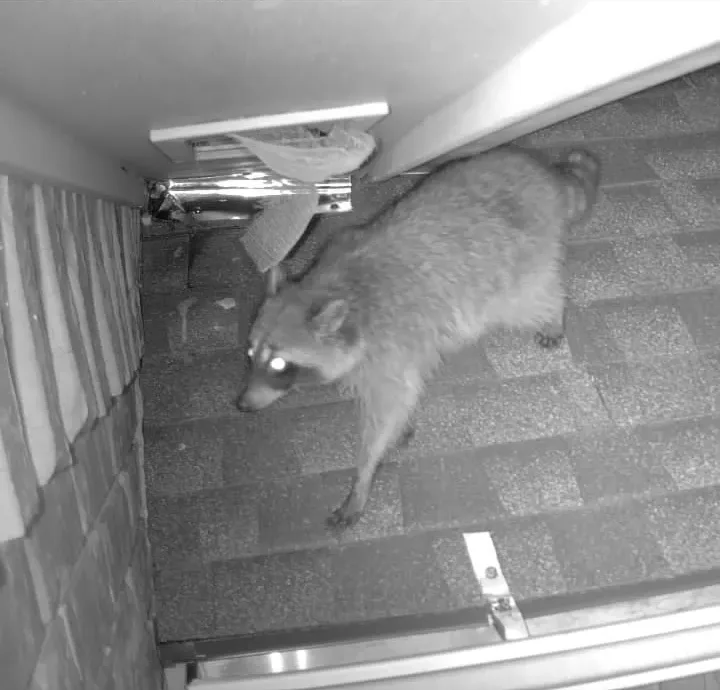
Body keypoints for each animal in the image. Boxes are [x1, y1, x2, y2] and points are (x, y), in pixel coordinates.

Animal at [237, 145, 601, 531]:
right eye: (250, 354)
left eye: (279, 363)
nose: (241, 405)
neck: (331, 290)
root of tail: (544, 174)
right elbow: (401, 396)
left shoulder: (387, 349)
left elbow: (389, 404)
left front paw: (363, 476)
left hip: (512, 264)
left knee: (528, 295)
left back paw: (553, 309)